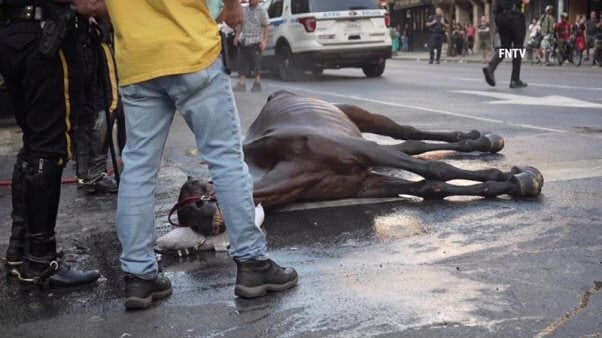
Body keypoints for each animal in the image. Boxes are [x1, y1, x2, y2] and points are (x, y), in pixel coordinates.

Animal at [165, 90, 544, 242]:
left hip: (359, 117)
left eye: (195, 200)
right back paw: (481, 141)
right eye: (186, 216)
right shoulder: (366, 183)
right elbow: (431, 187)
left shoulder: (364, 152)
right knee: (414, 145)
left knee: (407, 132)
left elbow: (439, 172)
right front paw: (508, 183)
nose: (202, 223)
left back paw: (482, 140)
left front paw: (521, 178)